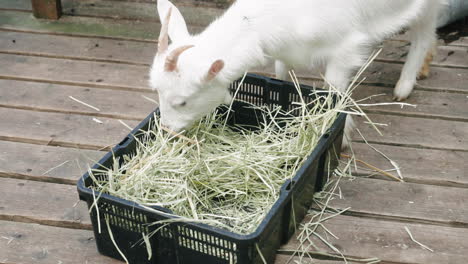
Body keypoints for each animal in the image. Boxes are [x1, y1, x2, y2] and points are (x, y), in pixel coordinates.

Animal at [151, 0, 442, 143]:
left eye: (182, 101)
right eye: (157, 93)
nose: (166, 129)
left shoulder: (346, 48)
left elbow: (335, 93)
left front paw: (341, 135)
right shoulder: (284, 51)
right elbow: (282, 77)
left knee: (425, 31)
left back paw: (405, 85)